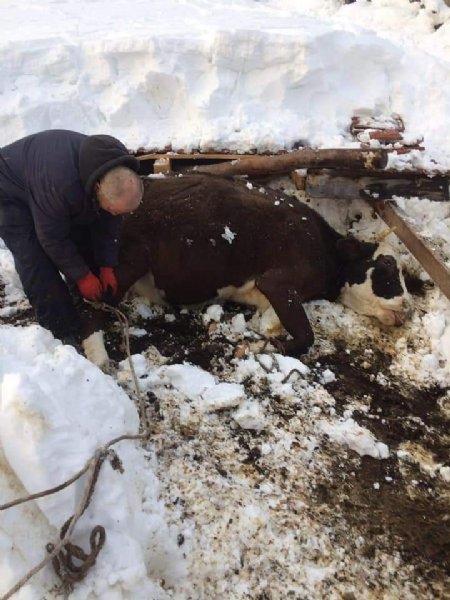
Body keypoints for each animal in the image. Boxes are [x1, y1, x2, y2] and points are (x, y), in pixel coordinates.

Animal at [79, 173, 410, 366]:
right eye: (386, 266)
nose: (408, 308)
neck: (325, 248)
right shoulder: (278, 281)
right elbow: (306, 337)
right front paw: (259, 348)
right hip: (129, 259)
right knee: (90, 310)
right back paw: (99, 358)